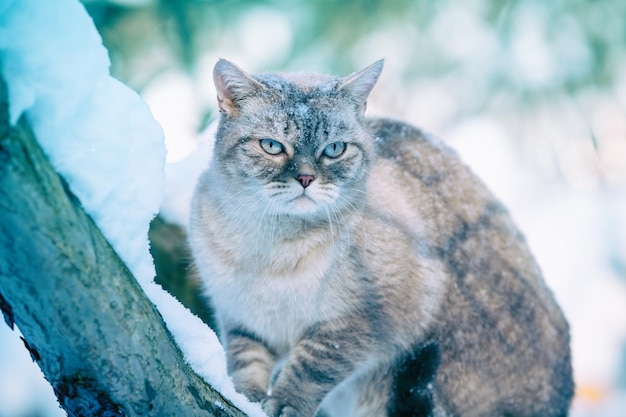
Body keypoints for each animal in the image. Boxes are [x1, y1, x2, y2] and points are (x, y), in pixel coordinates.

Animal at [188, 58, 572, 416]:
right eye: (272, 146)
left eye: (334, 149)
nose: (306, 179)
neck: (269, 246)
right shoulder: (241, 318)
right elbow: (244, 366)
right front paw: (245, 398)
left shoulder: (365, 322)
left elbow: (311, 367)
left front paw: (285, 405)